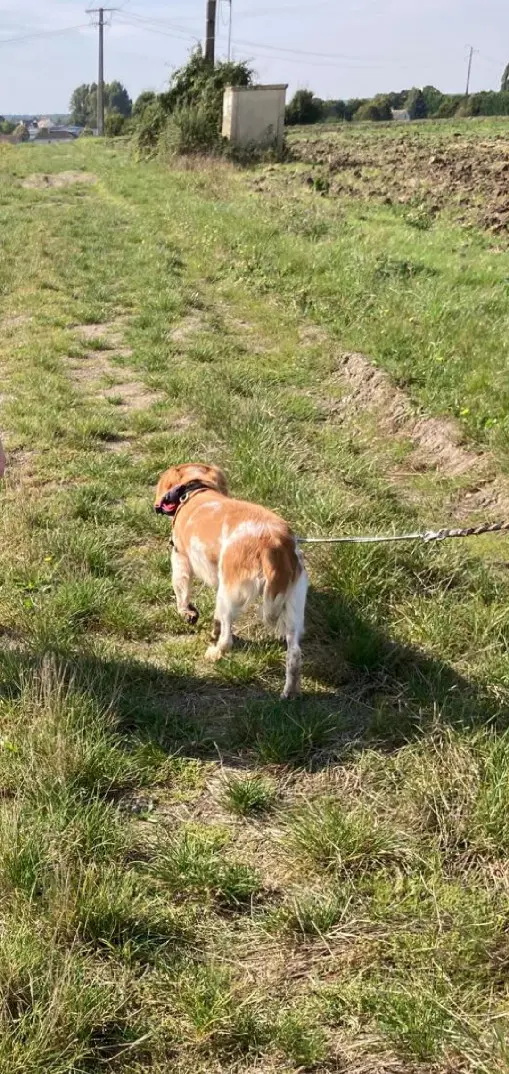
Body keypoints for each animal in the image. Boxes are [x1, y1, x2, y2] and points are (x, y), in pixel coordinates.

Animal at [153, 463, 307, 700]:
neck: (197, 491)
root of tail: (275, 544)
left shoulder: (180, 560)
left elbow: (182, 594)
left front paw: (187, 613)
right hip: (292, 608)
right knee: (294, 656)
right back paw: (289, 693)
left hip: (230, 595)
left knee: (227, 640)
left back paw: (214, 653)